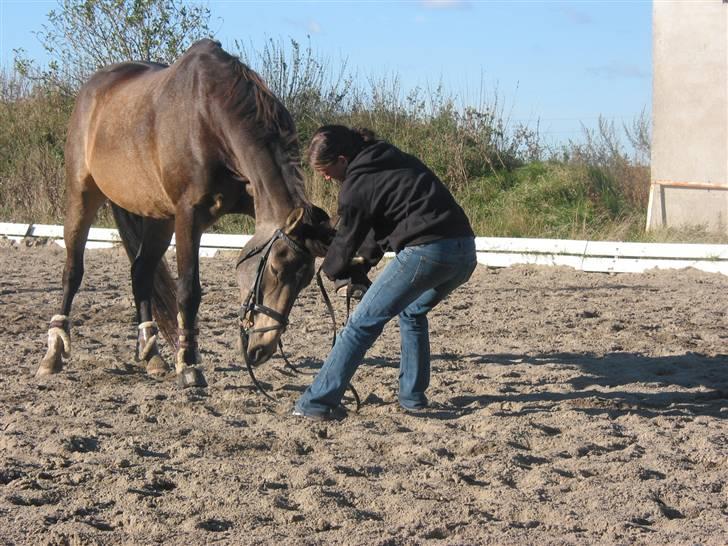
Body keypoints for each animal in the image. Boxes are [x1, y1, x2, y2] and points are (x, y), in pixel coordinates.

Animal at [38, 38, 334, 386]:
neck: (211, 118)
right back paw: (53, 353)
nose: (261, 350)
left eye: (304, 281)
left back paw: (152, 355)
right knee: (73, 271)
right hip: (82, 195)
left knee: (140, 273)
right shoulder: (189, 215)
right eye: (275, 269)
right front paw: (190, 365)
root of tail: (93, 88)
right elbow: (188, 291)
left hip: (158, 217)